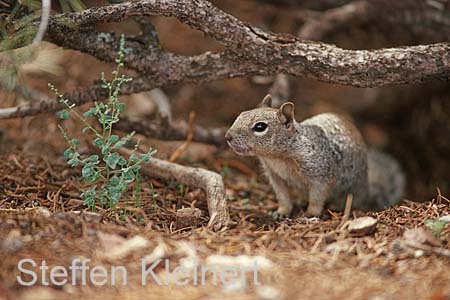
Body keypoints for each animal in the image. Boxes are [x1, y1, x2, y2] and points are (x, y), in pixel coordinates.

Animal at [225, 95, 404, 217]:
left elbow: (318, 195)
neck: (277, 158)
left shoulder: (319, 172)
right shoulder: (275, 176)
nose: (227, 136)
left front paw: (310, 214)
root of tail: (367, 191)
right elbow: (283, 196)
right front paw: (281, 211)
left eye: (260, 127)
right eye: (241, 115)